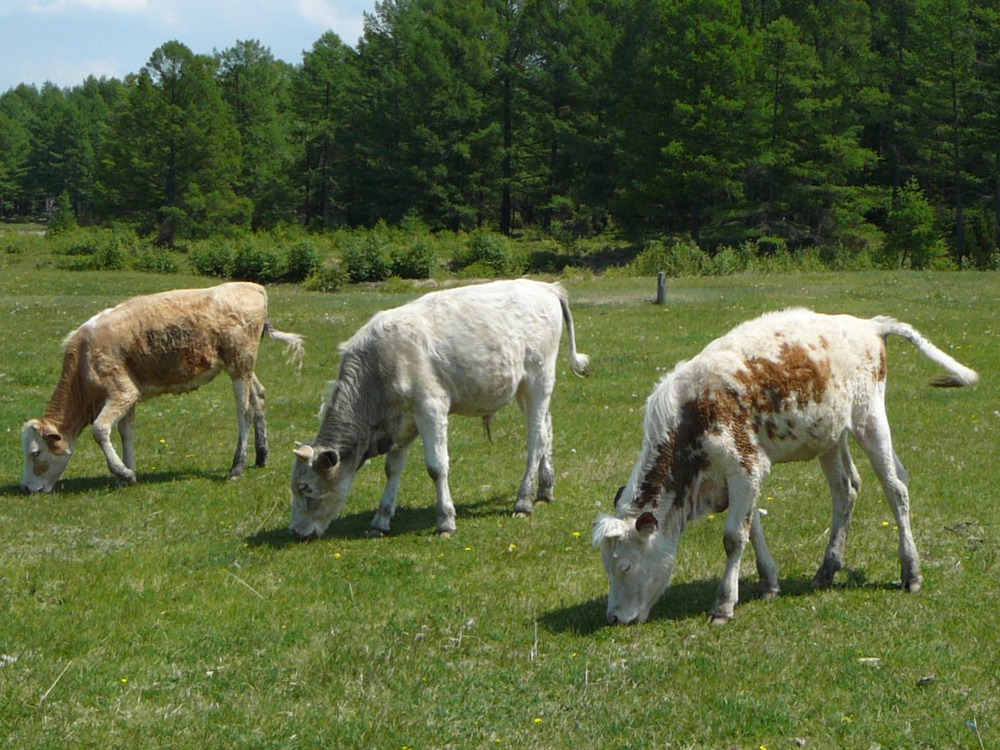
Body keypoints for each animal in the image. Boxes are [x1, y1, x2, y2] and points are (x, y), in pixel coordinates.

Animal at [21, 282, 302, 494]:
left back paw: (237, 468)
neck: (82, 361)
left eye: (35, 453)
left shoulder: (122, 392)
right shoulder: (129, 396)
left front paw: (122, 472)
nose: (26, 488)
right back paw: (261, 455)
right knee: (259, 398)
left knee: (244, 412)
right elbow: (126, 432)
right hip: (243, 367)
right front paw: (129, 473)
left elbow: (100, 430)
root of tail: (253, 287)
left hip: (239, 365)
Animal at [288, 280, 584, 536]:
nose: (297, 533)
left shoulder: (430, 408)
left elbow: (437, 467)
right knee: (546, 429)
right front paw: (381, 520)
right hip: (524, 388)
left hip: (539, 379)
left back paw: (523, 501)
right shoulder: (401, 422)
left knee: (535, 439)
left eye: (305, 488)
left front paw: (446, 521)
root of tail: (545, 286)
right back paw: (544, 490)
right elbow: (392, 469)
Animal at [592, 308, 976, 624]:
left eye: (625, 566)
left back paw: (911, 571)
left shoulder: (745, 465)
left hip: (869, 420)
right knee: (846, 489)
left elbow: (733, 537)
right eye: (606, 566)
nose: (613, 618)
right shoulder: (741, 477)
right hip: (830, 437)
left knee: (896, 488)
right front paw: (768, 583)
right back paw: (826, 570)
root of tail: (869, 325)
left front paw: (723, 605)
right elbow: (752, 528)